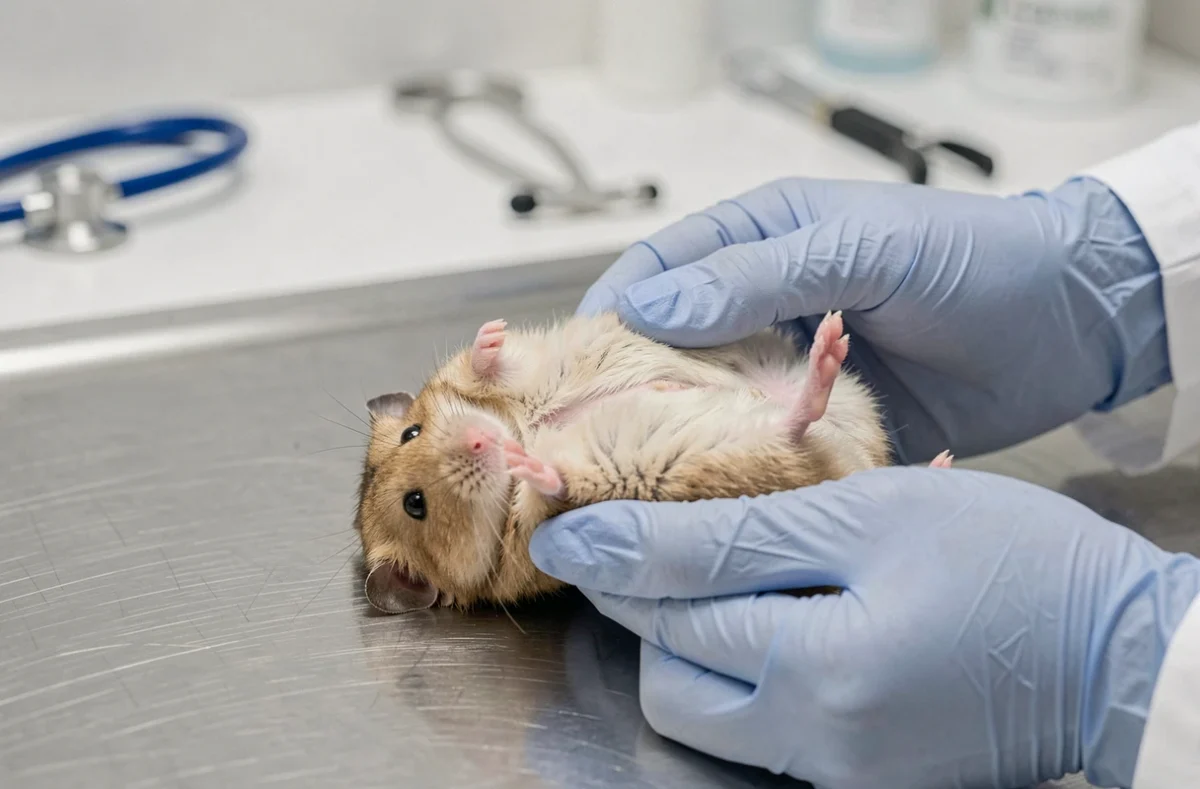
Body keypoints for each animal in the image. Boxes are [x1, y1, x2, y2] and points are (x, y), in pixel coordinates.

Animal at [355, 311, 953, 614]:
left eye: (411, 430)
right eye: (415, 505)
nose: (485, 443)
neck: (523, 429)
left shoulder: (499, 382)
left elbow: (483, 367)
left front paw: (491, 333)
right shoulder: (523, 547)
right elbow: (556, 488)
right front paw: (535, 467)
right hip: (746, 456)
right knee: (798, 421)